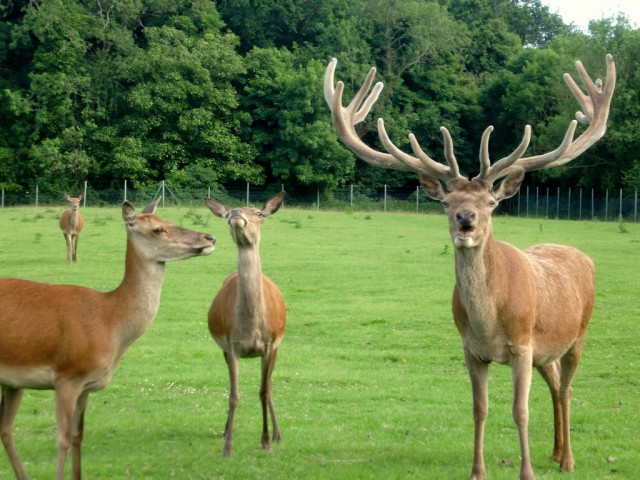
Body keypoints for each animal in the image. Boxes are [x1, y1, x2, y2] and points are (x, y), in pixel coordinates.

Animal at [0, 199, 216, 480]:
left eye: (168, 220)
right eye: (158, 229)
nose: (209, 237)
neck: (109, 323)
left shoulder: (87, 385)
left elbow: (78, 436)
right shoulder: (67, 375)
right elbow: (63, 439)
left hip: (12, 382)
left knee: (5, 429)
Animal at [204, 191, 286, 458]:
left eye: (258, 213)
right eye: (228, 213)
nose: (237, 214)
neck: (251, 328)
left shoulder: (269, 345)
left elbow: (263, 391)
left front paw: (267, 441)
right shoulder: (231, 345)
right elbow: (234, 395)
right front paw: (227, 447)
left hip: (278, 347)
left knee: (269, 386)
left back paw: (278, 434)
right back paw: (225, 430)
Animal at [324, 53, 616, 480]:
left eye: (490, 203)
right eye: (447, 203)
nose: (466, 219)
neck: (489, 323)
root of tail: (580, 254)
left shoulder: (522, 345)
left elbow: (520, 411)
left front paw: (526, 472)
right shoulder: (471, 350)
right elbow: (480, 409)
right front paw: (478, 471)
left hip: (577, 334)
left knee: (565, 388)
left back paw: (567, 460)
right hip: (545, 350)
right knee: (554, 383)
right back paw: (555, 451)